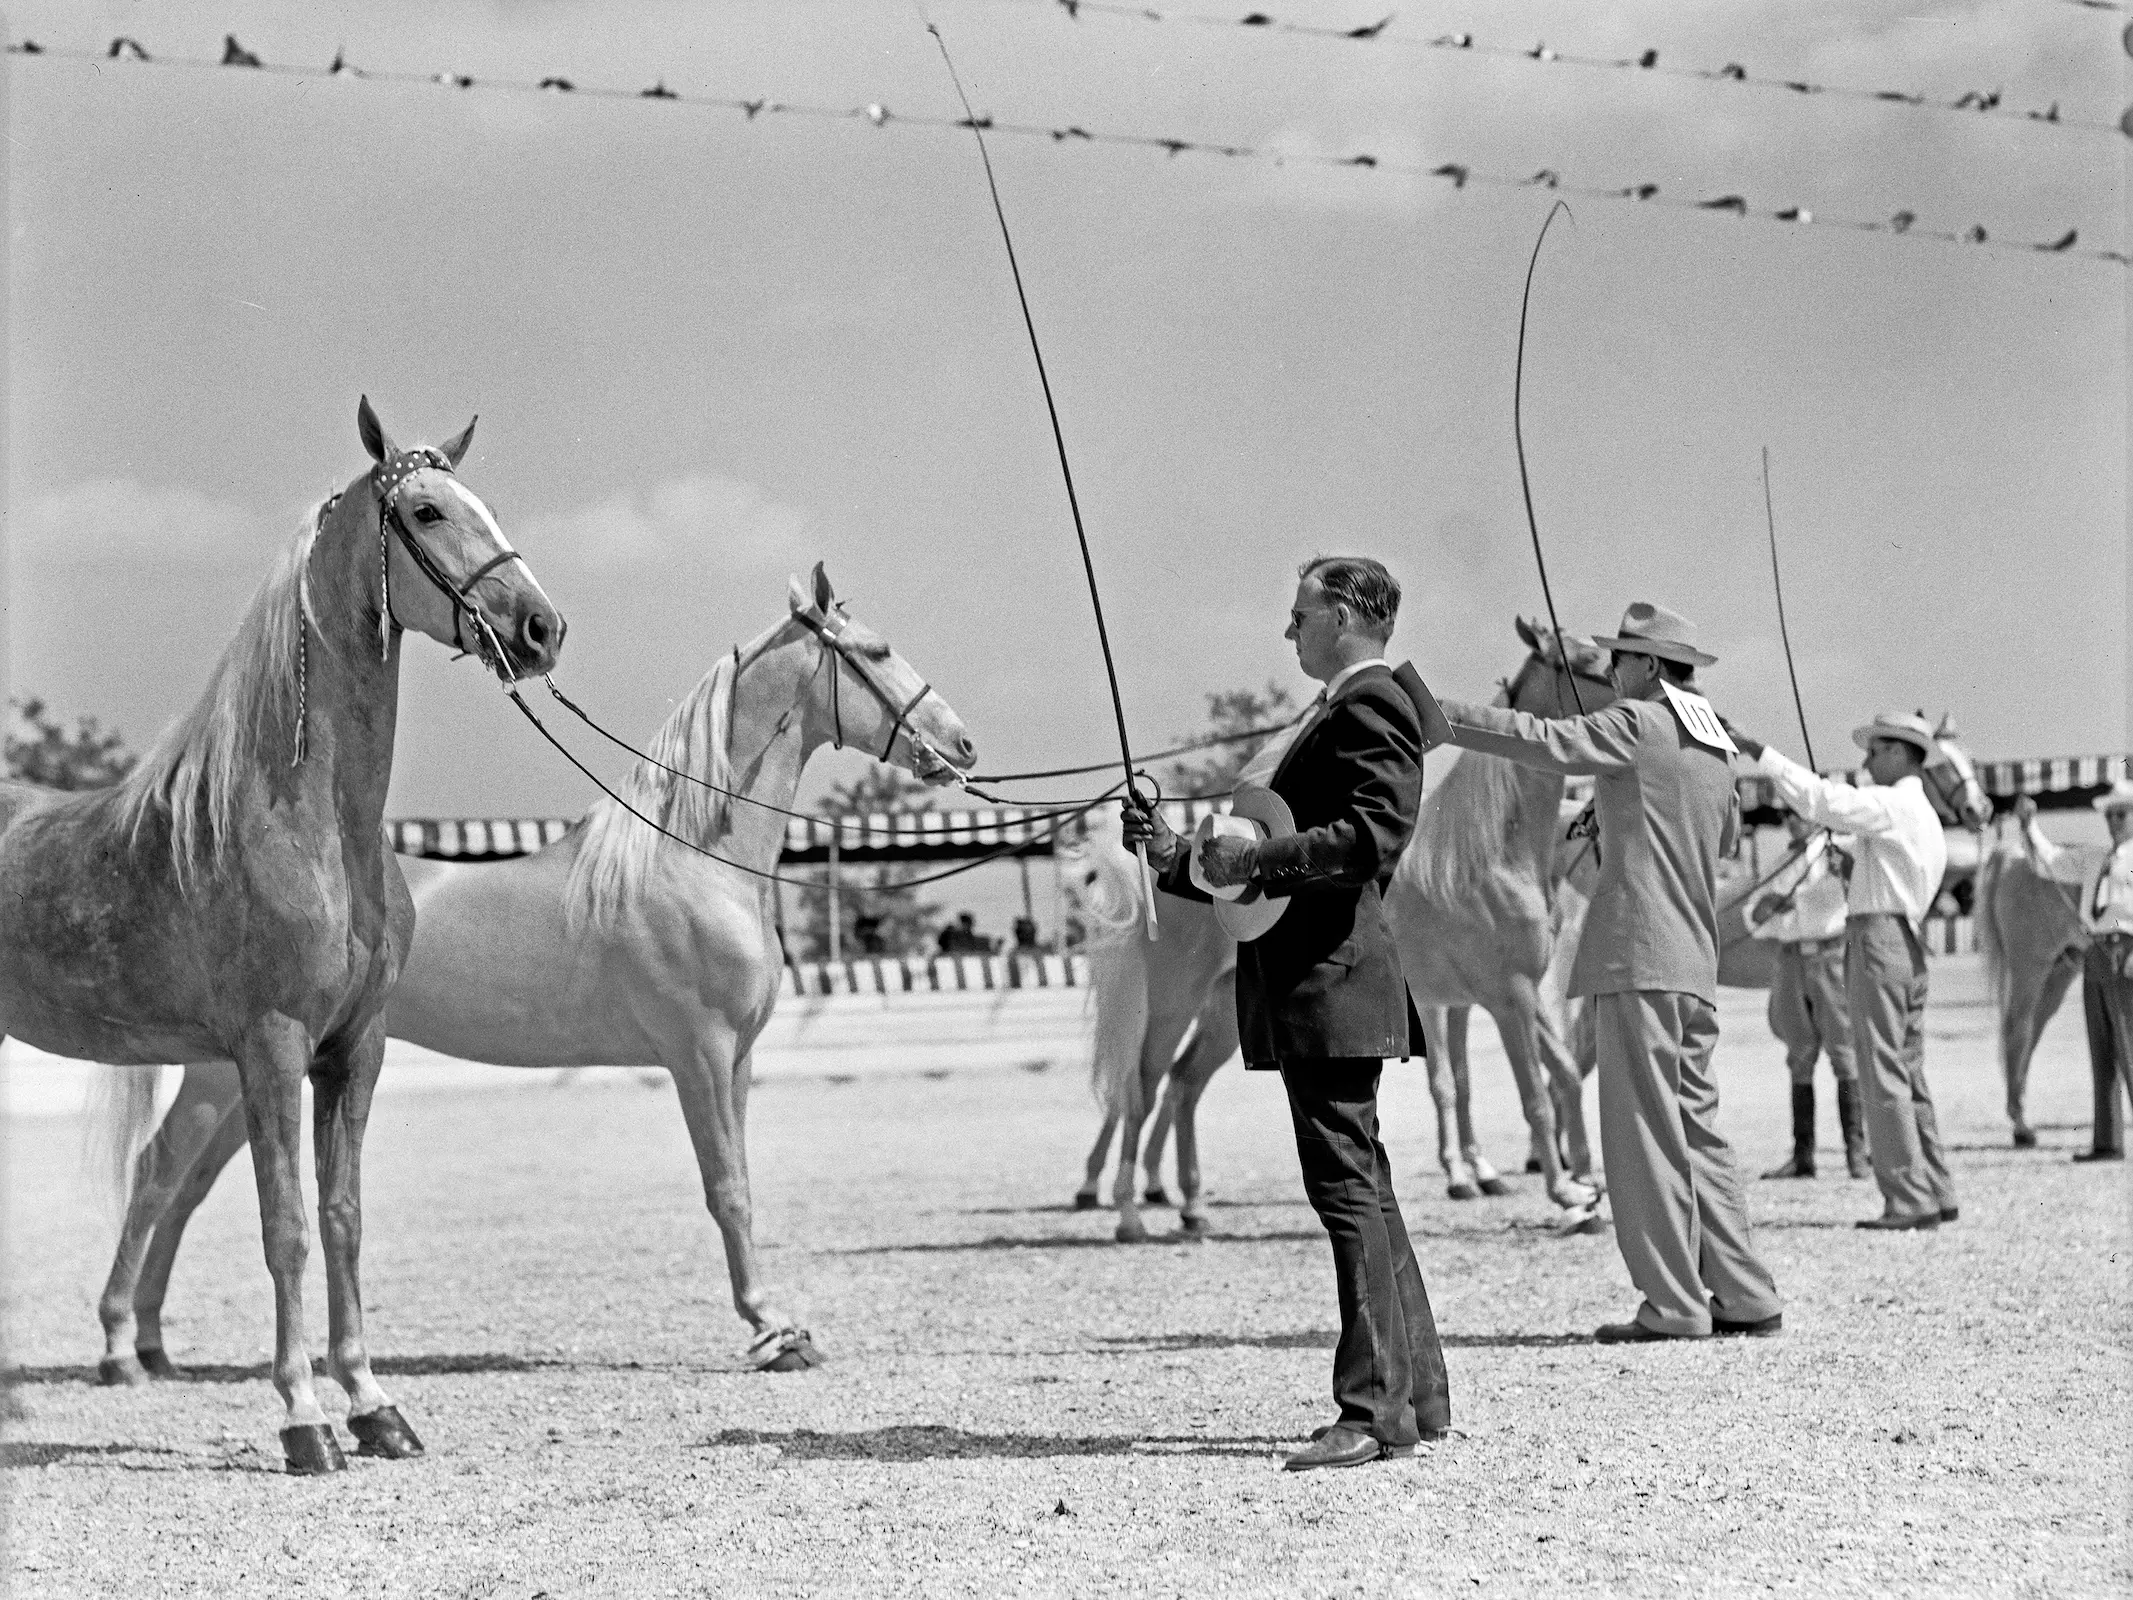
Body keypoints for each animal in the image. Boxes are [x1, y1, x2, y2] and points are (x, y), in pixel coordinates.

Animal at [0, 401, 563, 1476]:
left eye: (483, 502)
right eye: (425, 512)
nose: (540, 628)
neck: (309, 827)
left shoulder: (355, 1047)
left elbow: (342, 1220)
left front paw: (374, 1406)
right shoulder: (270, 1045)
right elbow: (287, 1226)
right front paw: (305, 1419)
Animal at [89, 563, 976, 1382]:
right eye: (876, 652)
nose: (963, 747)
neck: (693, 858)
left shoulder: (739, 1061)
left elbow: (744, 1184)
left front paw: (778, 1323)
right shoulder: (699, 1053)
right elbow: (727, 1189)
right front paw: (768, 1330)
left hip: (254, 1078)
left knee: (186, 1189)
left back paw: (156, 1347)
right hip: (227, 1074)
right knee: (156, 1177)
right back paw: (120, 1349)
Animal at [1083, 618, 1612, 1245]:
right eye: (1586, 661)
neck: (1489, 852)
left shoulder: (1514, 995)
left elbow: (1564, 1079)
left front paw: (1584, 1190)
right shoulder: (1507, 996)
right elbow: (1532, 1095)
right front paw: (1562, 1193)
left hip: (1223, 1014)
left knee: (1183, 1084)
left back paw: (1191, 1208)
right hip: (1172, 1002)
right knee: (1140, 1091)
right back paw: (1129, 1213)